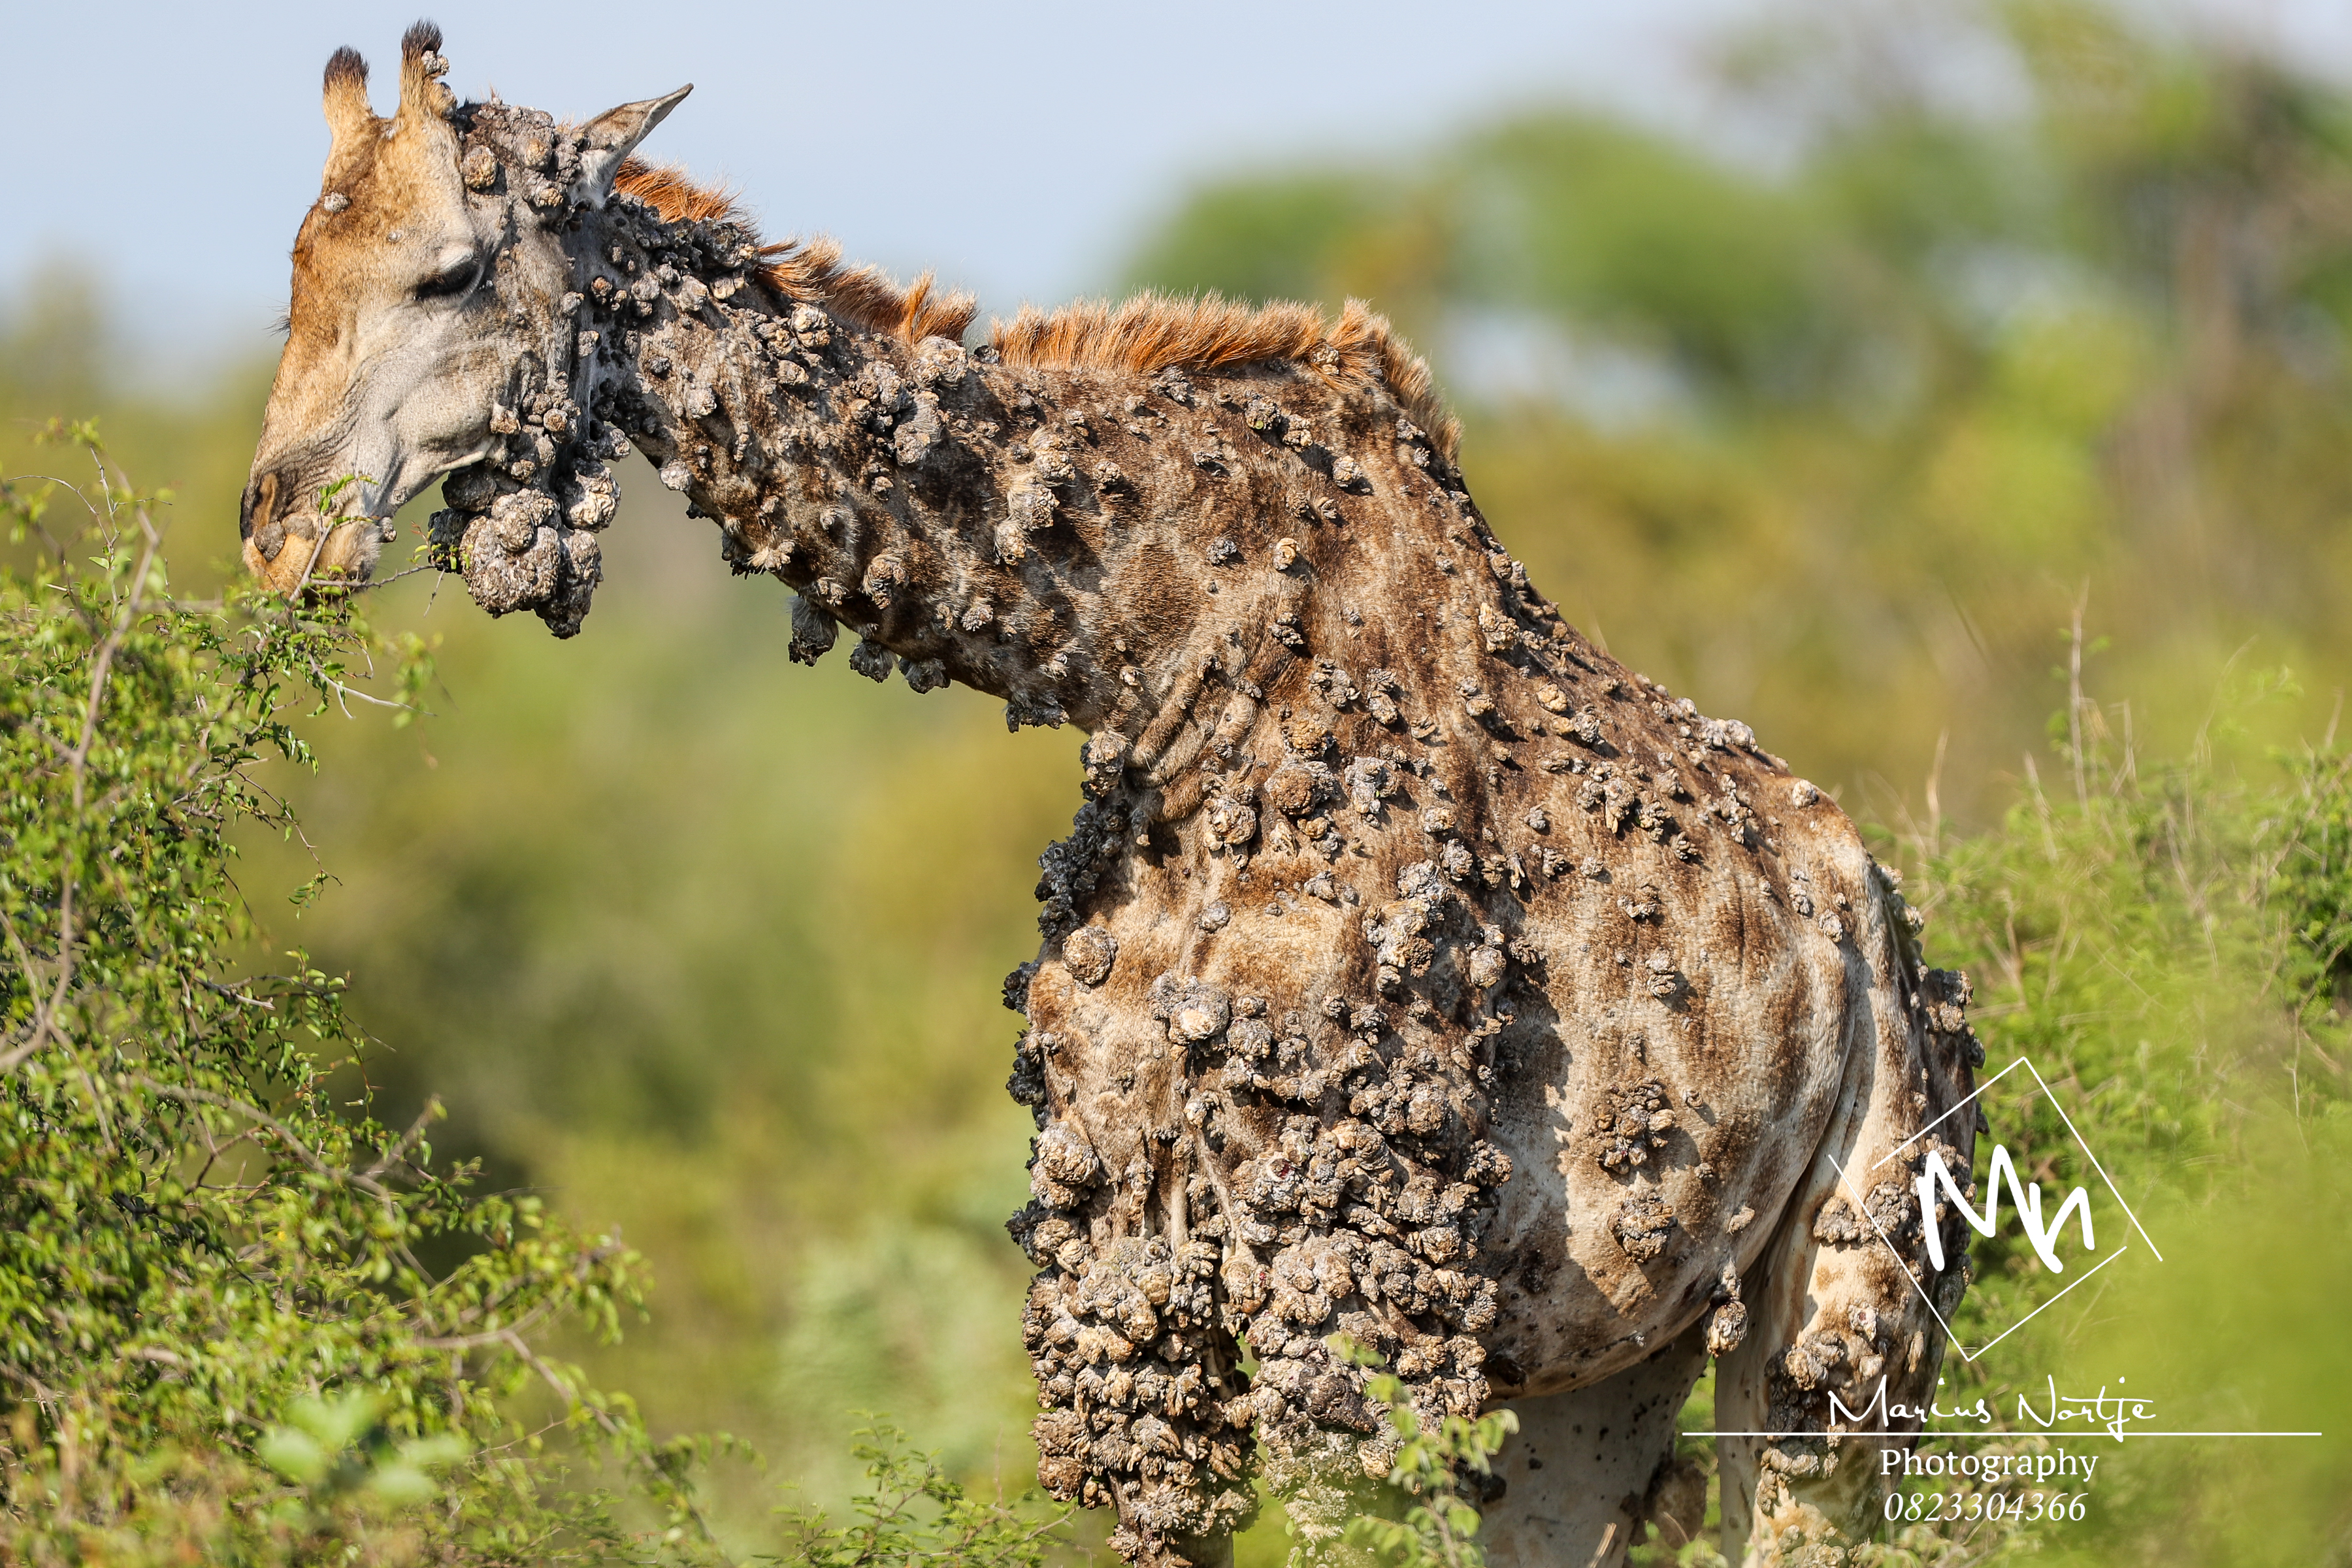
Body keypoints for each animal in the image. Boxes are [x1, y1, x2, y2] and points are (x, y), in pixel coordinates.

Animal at [248, 27, 1985, 1568]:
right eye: (295, 266)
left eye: (449, 272)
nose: (280, 528)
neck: (1163, 674)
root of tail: (1876, 926)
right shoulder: (1122, 1264)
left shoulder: (1357, 1276)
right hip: (1599, 1360)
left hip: (1843, 1327)